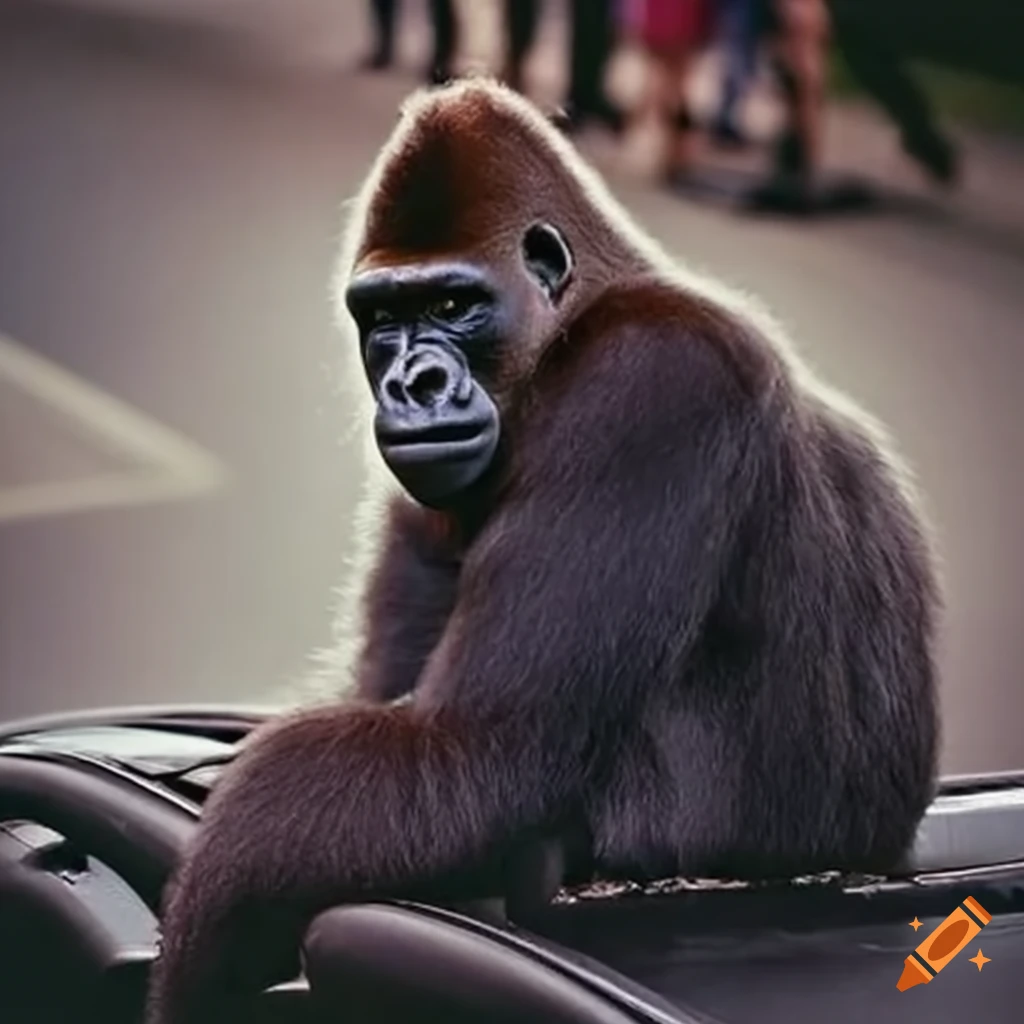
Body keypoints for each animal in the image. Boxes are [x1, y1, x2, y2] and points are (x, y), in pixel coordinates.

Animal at [145, 78, 941, 1023]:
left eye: (454, 305)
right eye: (384, 316)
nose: (414, 386)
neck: (580, 313)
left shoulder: (650, 378)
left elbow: (469, 753)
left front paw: (204, 942)